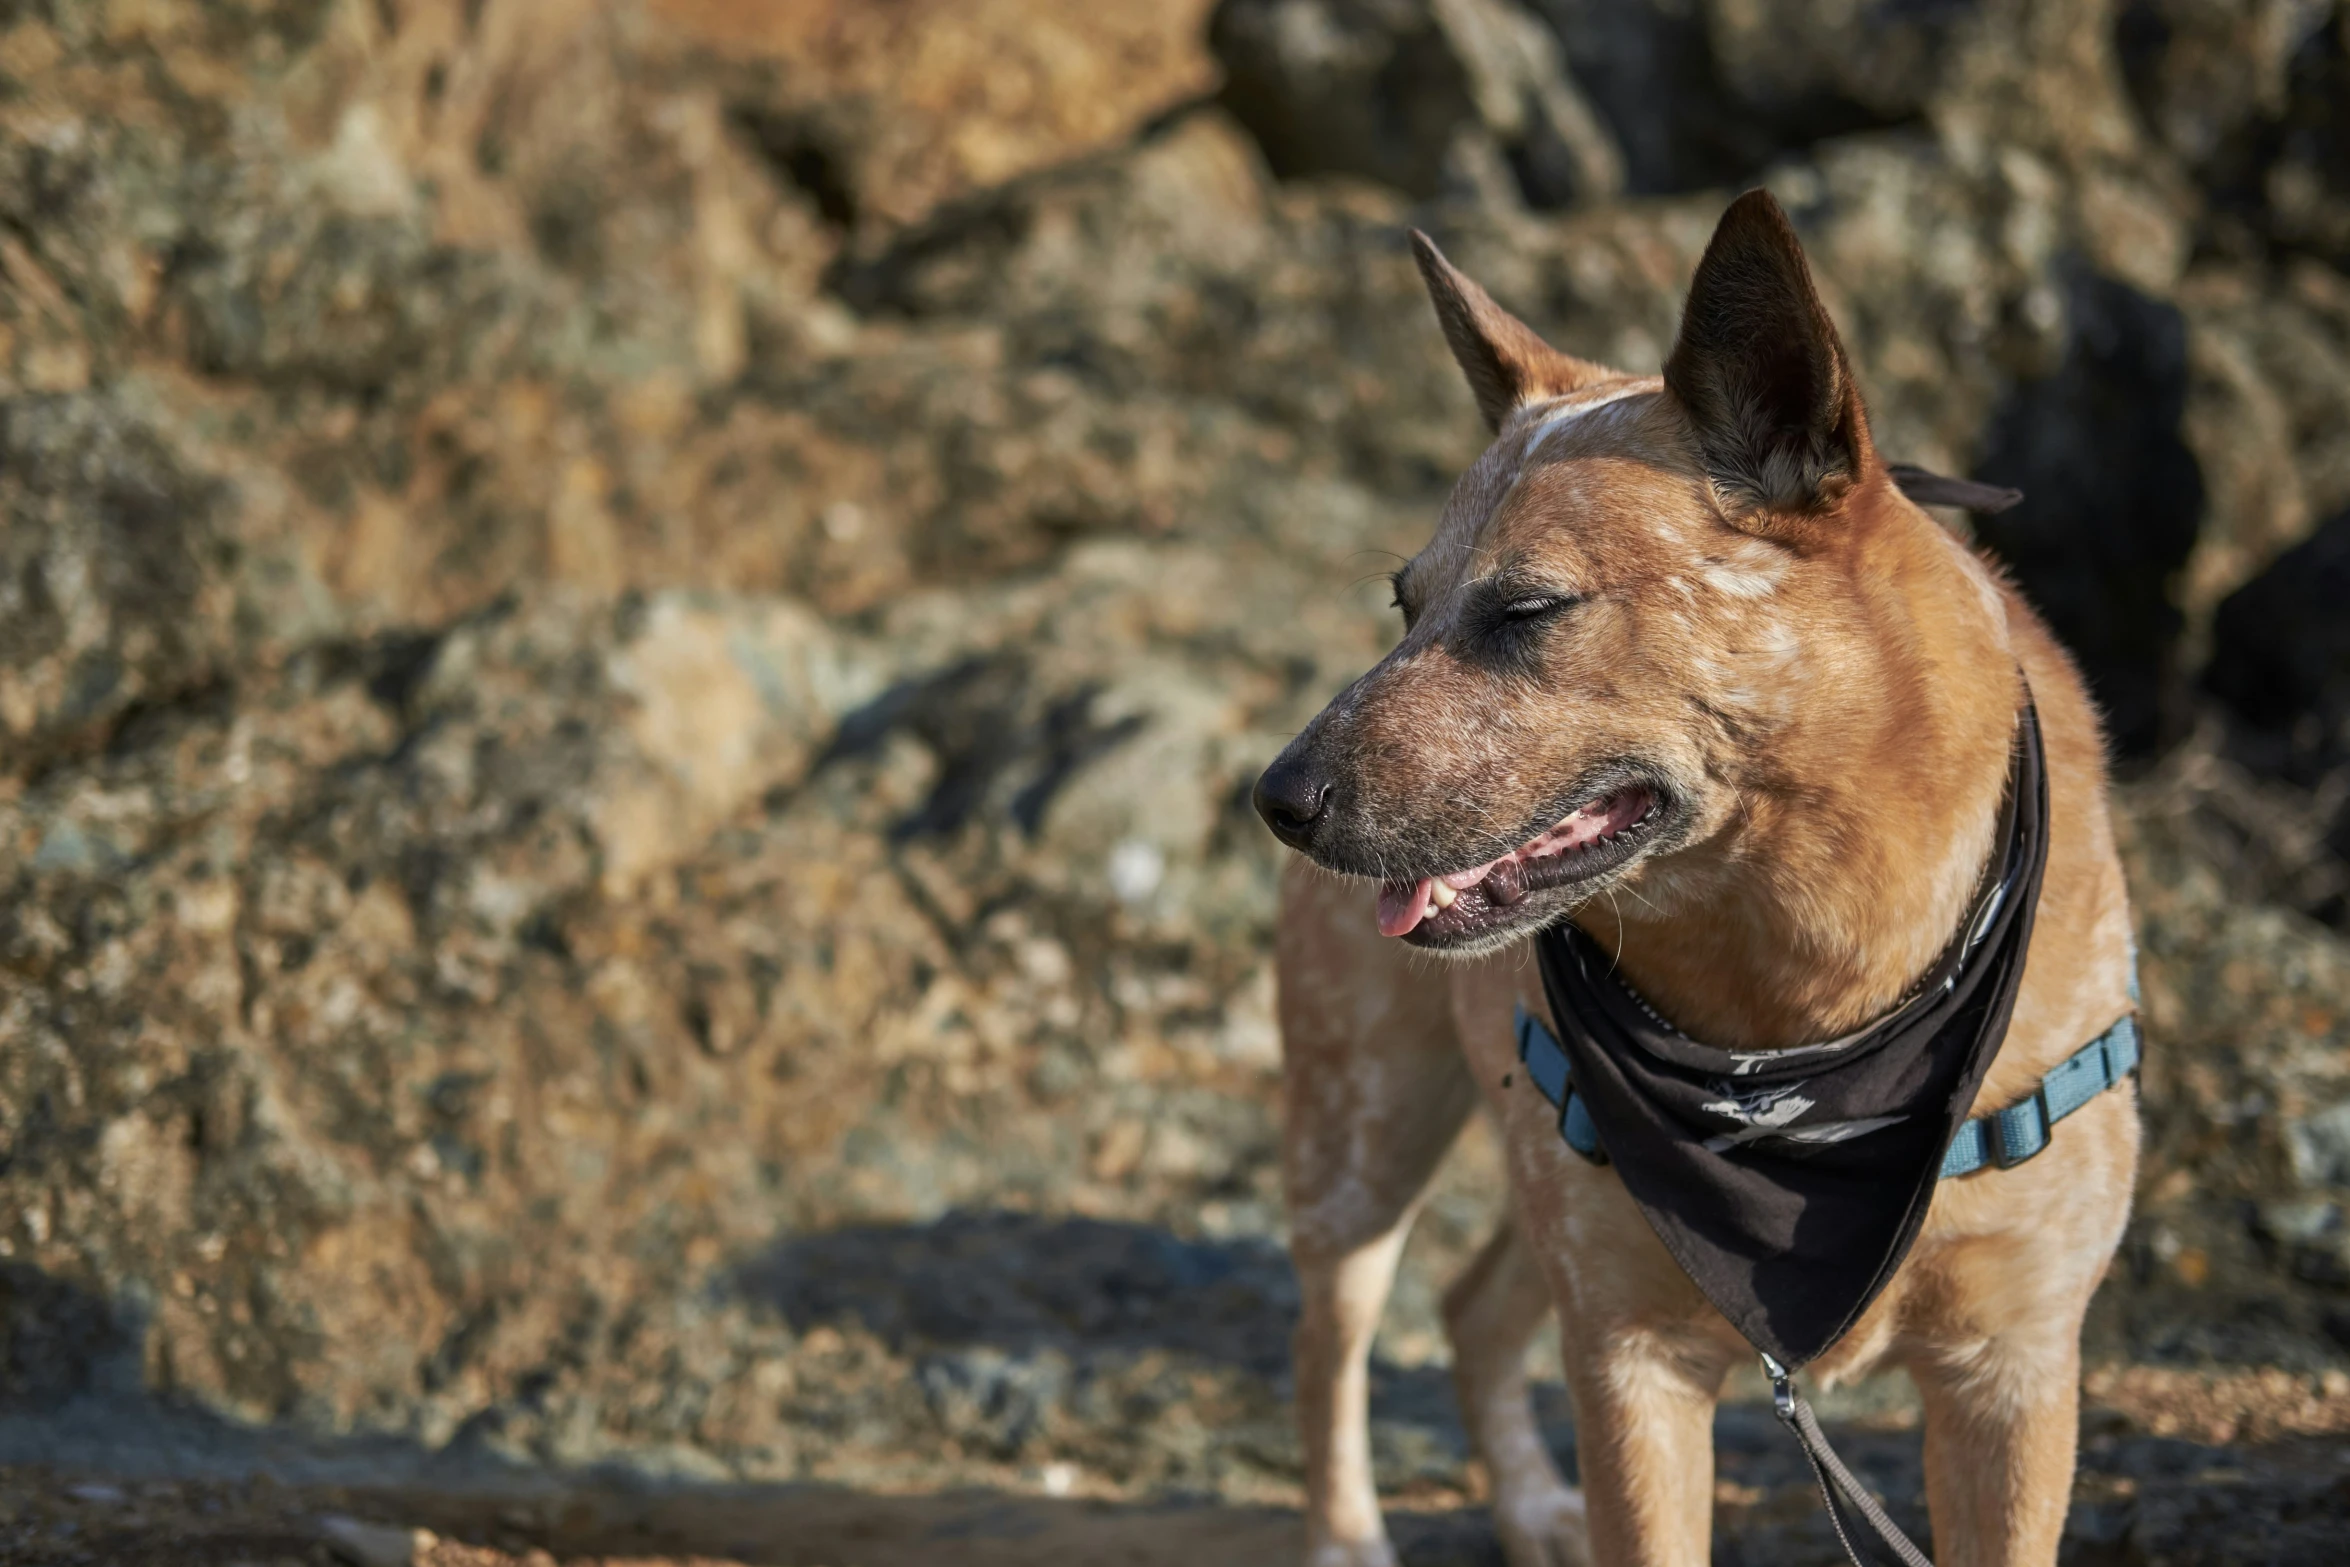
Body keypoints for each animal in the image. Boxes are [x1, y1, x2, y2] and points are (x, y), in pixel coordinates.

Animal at [1259, 196, 2143, 1567]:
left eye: (1526, 609)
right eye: (1403, 606)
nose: (1275, 800)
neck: (1803, 1000)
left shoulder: (2013, 1374)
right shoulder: (1637, 1370)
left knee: (1469, 1304)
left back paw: (1526, 1503)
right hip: (1367, 1133)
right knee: (1330, 1334)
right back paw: (1350, 1536)